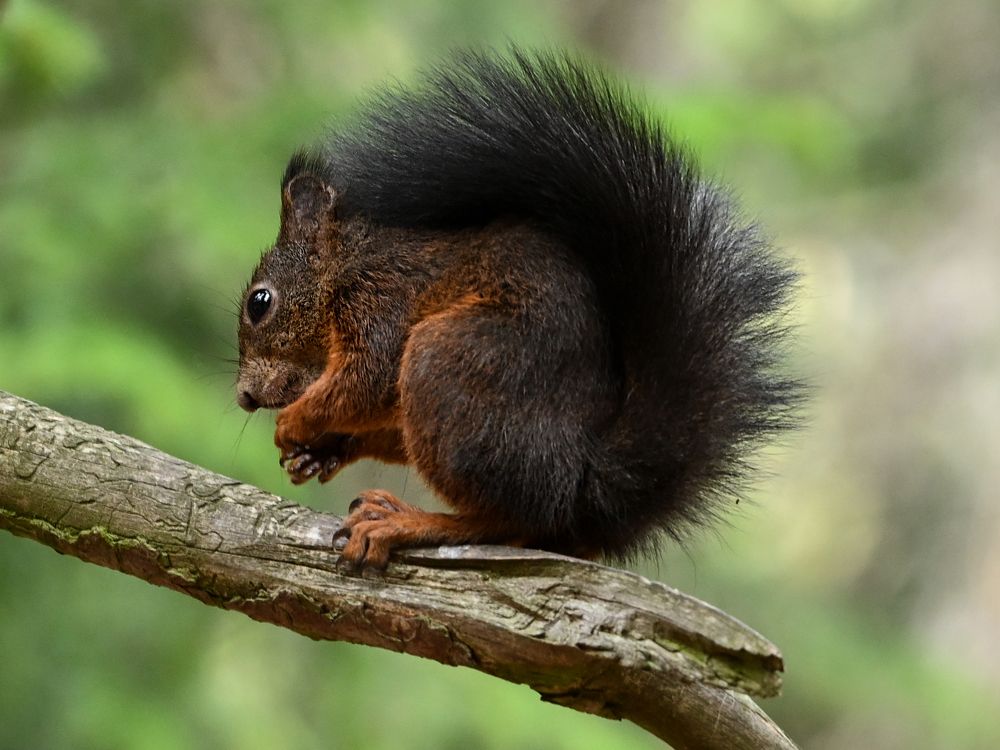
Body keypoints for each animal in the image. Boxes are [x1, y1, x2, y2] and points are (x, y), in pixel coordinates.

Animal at [235, 49, 801, 569]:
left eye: (259, 303)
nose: (243, 397)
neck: (345, 267)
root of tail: (582, 485)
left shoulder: (382, 303)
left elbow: (365, 380)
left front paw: (293, 422)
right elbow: (380, 417)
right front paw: (321, 450)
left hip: (449, 363)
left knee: (511, 521)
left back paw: (404, 522)